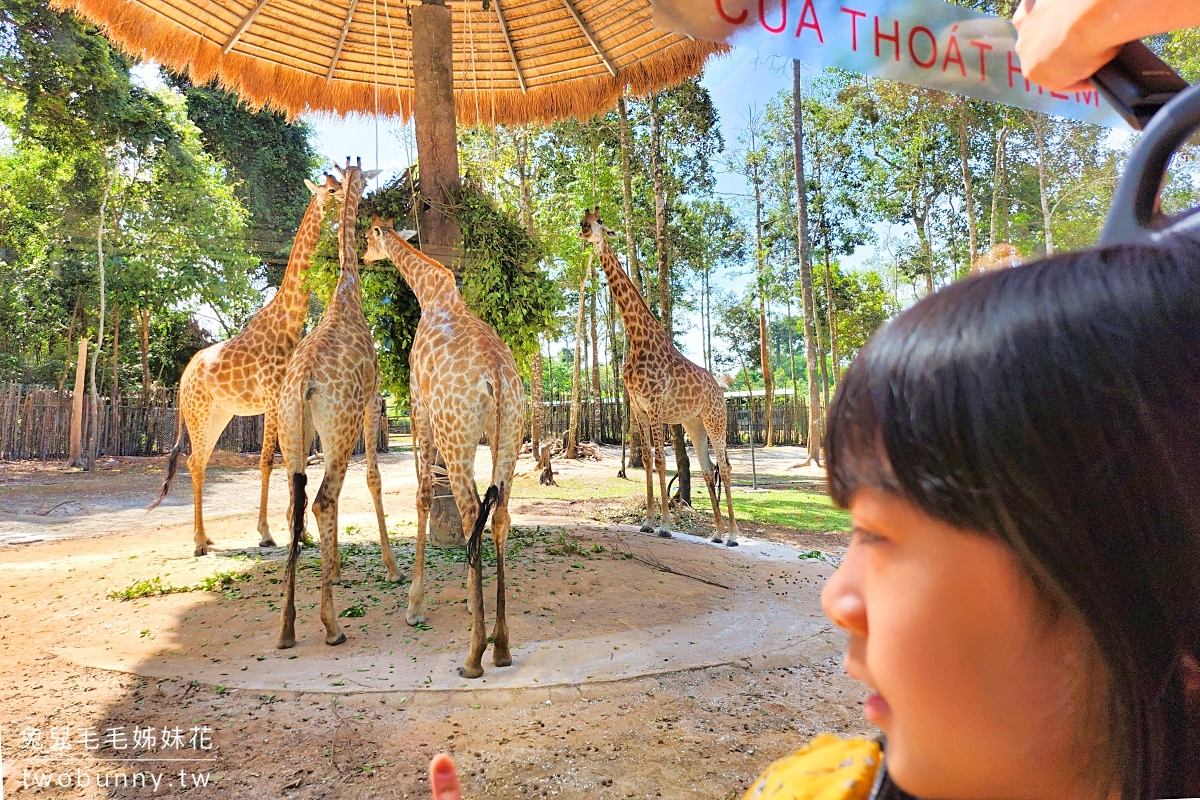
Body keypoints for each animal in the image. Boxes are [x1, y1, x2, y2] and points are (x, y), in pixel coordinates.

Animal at [148, 172, 343, 556]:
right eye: (331, 190)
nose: (351, 201)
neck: (288, 322)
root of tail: (183, 378)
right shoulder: (272, 399)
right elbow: (268, 462)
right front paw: (266, 532)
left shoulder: (290, 401)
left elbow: (295, 459)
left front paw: (300, 531)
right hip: (199, 413)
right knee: (195, 462)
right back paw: (198, 541)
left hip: (219, 414)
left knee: (197, 461)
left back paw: (206, 536)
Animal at [274, 159, 400, 652]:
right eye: (362, 181)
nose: (368, 195)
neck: (347, 291)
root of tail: (304, 383)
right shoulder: (371, 401)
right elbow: (373, 478)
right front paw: (390, 567)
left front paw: (337, 569)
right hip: (341, 424)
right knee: (322, 500)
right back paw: (331, 625)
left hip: (293, 433)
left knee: (296, 502)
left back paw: (287, 627)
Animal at [357, 215, 523, 681]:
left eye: (370, 234)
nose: (362, 257)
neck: (431, 292)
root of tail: (496, 378)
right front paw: (469, 598)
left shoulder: (418, 406)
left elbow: (424, 495)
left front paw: (414, 605)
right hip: (508, 436)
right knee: (498, 516)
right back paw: (501, 646)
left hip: (455, 432)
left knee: (469, 511)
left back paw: (473, 655)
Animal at [580, 206, 739, 546]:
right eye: (584, 218)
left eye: (600, 221)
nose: (584, 229)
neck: (637, 338)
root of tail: (719, 388)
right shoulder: (638, 407)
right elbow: (649, 461)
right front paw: (648, 521)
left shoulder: (654, 405)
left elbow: (662, 461)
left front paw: (665, 525)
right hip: (694, 422)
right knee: (708, 469)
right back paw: (718, 533)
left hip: (716, 419)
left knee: (726, 466)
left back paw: (733, 534)